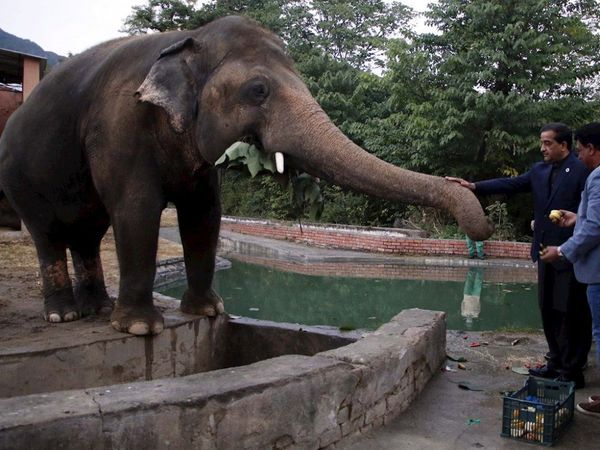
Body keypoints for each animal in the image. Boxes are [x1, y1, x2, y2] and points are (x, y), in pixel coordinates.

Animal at [0, 15, 492, 336]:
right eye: (258, 90)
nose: (479, 224)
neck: (185, 40)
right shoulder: (118, 125)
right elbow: (137, 209)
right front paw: (141, 329)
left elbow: (205, 213)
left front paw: (209, 313)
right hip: (19, 178)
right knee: (49, 235)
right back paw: (65, 316)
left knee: (88, 234)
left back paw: (98, 310)